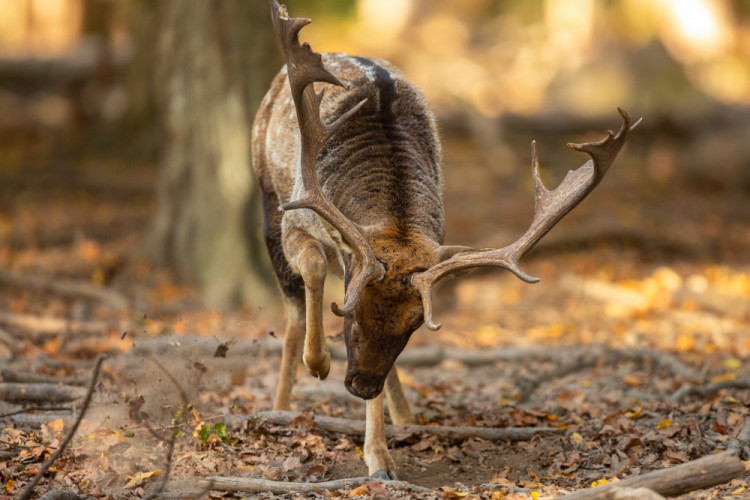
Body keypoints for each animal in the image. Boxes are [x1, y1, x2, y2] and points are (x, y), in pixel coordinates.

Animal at [253, 0, 640, 478]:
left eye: (414, 325)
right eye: (350, 313)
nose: (361, 385)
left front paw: (380, 457)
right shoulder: (297, 211)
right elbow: (312, 267)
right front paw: (319, 363)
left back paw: (403, 415)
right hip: (266, 192)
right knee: (290, 306)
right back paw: (281, 405)